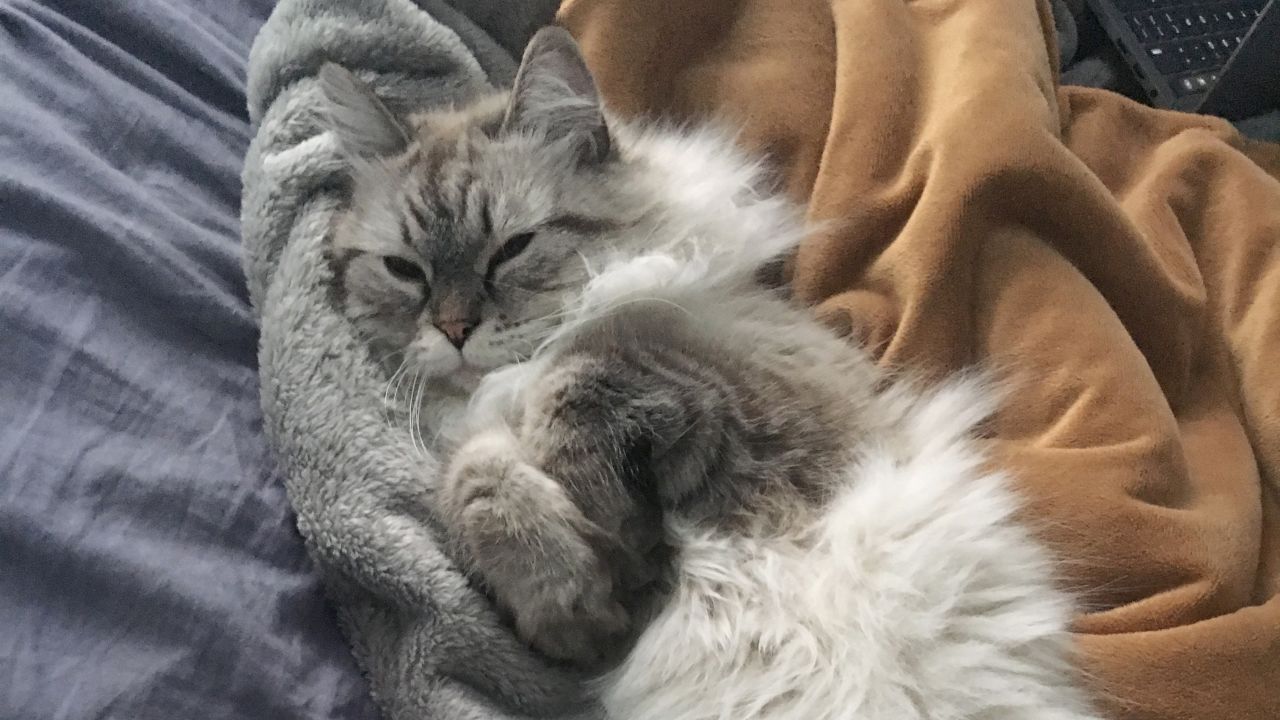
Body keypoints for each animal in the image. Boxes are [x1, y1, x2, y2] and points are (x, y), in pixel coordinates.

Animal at [317, 25, 1100, 717]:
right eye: (405, 271)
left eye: (512, 249)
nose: (454, 331)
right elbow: (478, 480)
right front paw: (574, 591)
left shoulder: (759, 405)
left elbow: (579, 372)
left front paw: (611, 521)